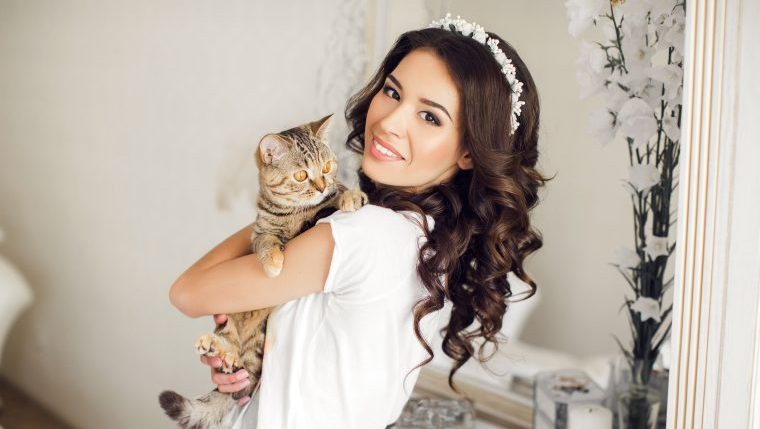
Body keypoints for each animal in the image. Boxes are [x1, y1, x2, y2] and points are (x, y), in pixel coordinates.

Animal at [158, 112, 368, 426]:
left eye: (327, 167)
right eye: (301, 175)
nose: (321, 187)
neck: (294, 213)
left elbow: (337, 198)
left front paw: (350, 196)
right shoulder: (260, 231)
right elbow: (267, 240)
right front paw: (272, 263)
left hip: (259, 343)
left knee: (245, 379)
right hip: (232, 323)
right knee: (235, 362)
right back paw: (217, 348)